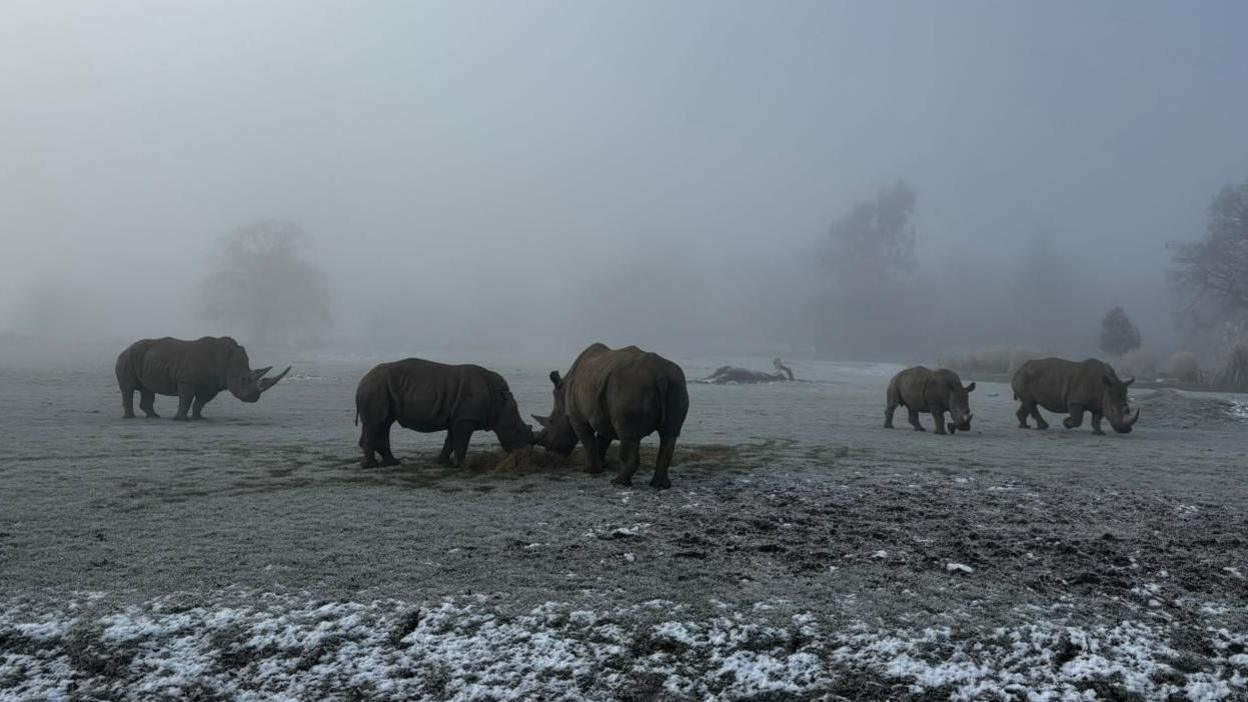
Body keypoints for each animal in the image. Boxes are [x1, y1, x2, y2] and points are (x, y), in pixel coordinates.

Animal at [115, 334, 292, 417]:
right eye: (243, 380)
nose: (254, 398)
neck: (228, 362)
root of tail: (124, 349)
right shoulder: (187, 380)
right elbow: (186, 399)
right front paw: (180, 419)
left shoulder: (212, 385)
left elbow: (200, 403)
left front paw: (198, 418)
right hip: (127, 359)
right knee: (128, 389)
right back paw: (130, 417)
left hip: (144, 359)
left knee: (147, 389)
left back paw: (154, 417)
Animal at [354, 357, 534, 467]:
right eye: (517, 430)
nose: (523, 453)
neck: (498, 402)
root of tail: (362, 380)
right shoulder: (465, 418)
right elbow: (461, 442)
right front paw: (463, 465)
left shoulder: (457, 417)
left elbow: (451, 441)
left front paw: (442, 462)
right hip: (375, 388)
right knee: (376, 423)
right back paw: (371, 466)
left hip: (380, 388)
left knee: (384, 423)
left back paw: (392, 463)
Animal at [536, 342, 693, 487]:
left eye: (550, 425)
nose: (550, 458)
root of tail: (661, 375)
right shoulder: (602, 416)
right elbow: (602, 441)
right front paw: (601, 466)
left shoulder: (577, 418)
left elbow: (588, 442)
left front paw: (590, 470)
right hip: (677, 382)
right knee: (669, 435)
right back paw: (660, 485)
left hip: (630, 385)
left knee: (628, 436)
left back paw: (619, 482)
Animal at [1013, 354, 1143, 432]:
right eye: (1112, 410)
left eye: (1128, 409)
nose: (1125, 430)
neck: (1104, 387)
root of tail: (1019, 369)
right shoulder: (1076, 401)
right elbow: (1077, 419)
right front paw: (1066, 423)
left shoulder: (1100, 401)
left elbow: (1097, 418)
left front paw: (1099, 433)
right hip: (1025, 376)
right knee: (1030, 403)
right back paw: (1043, 427)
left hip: (1027, 377)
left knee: (1028, 402)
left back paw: (1024, 426)